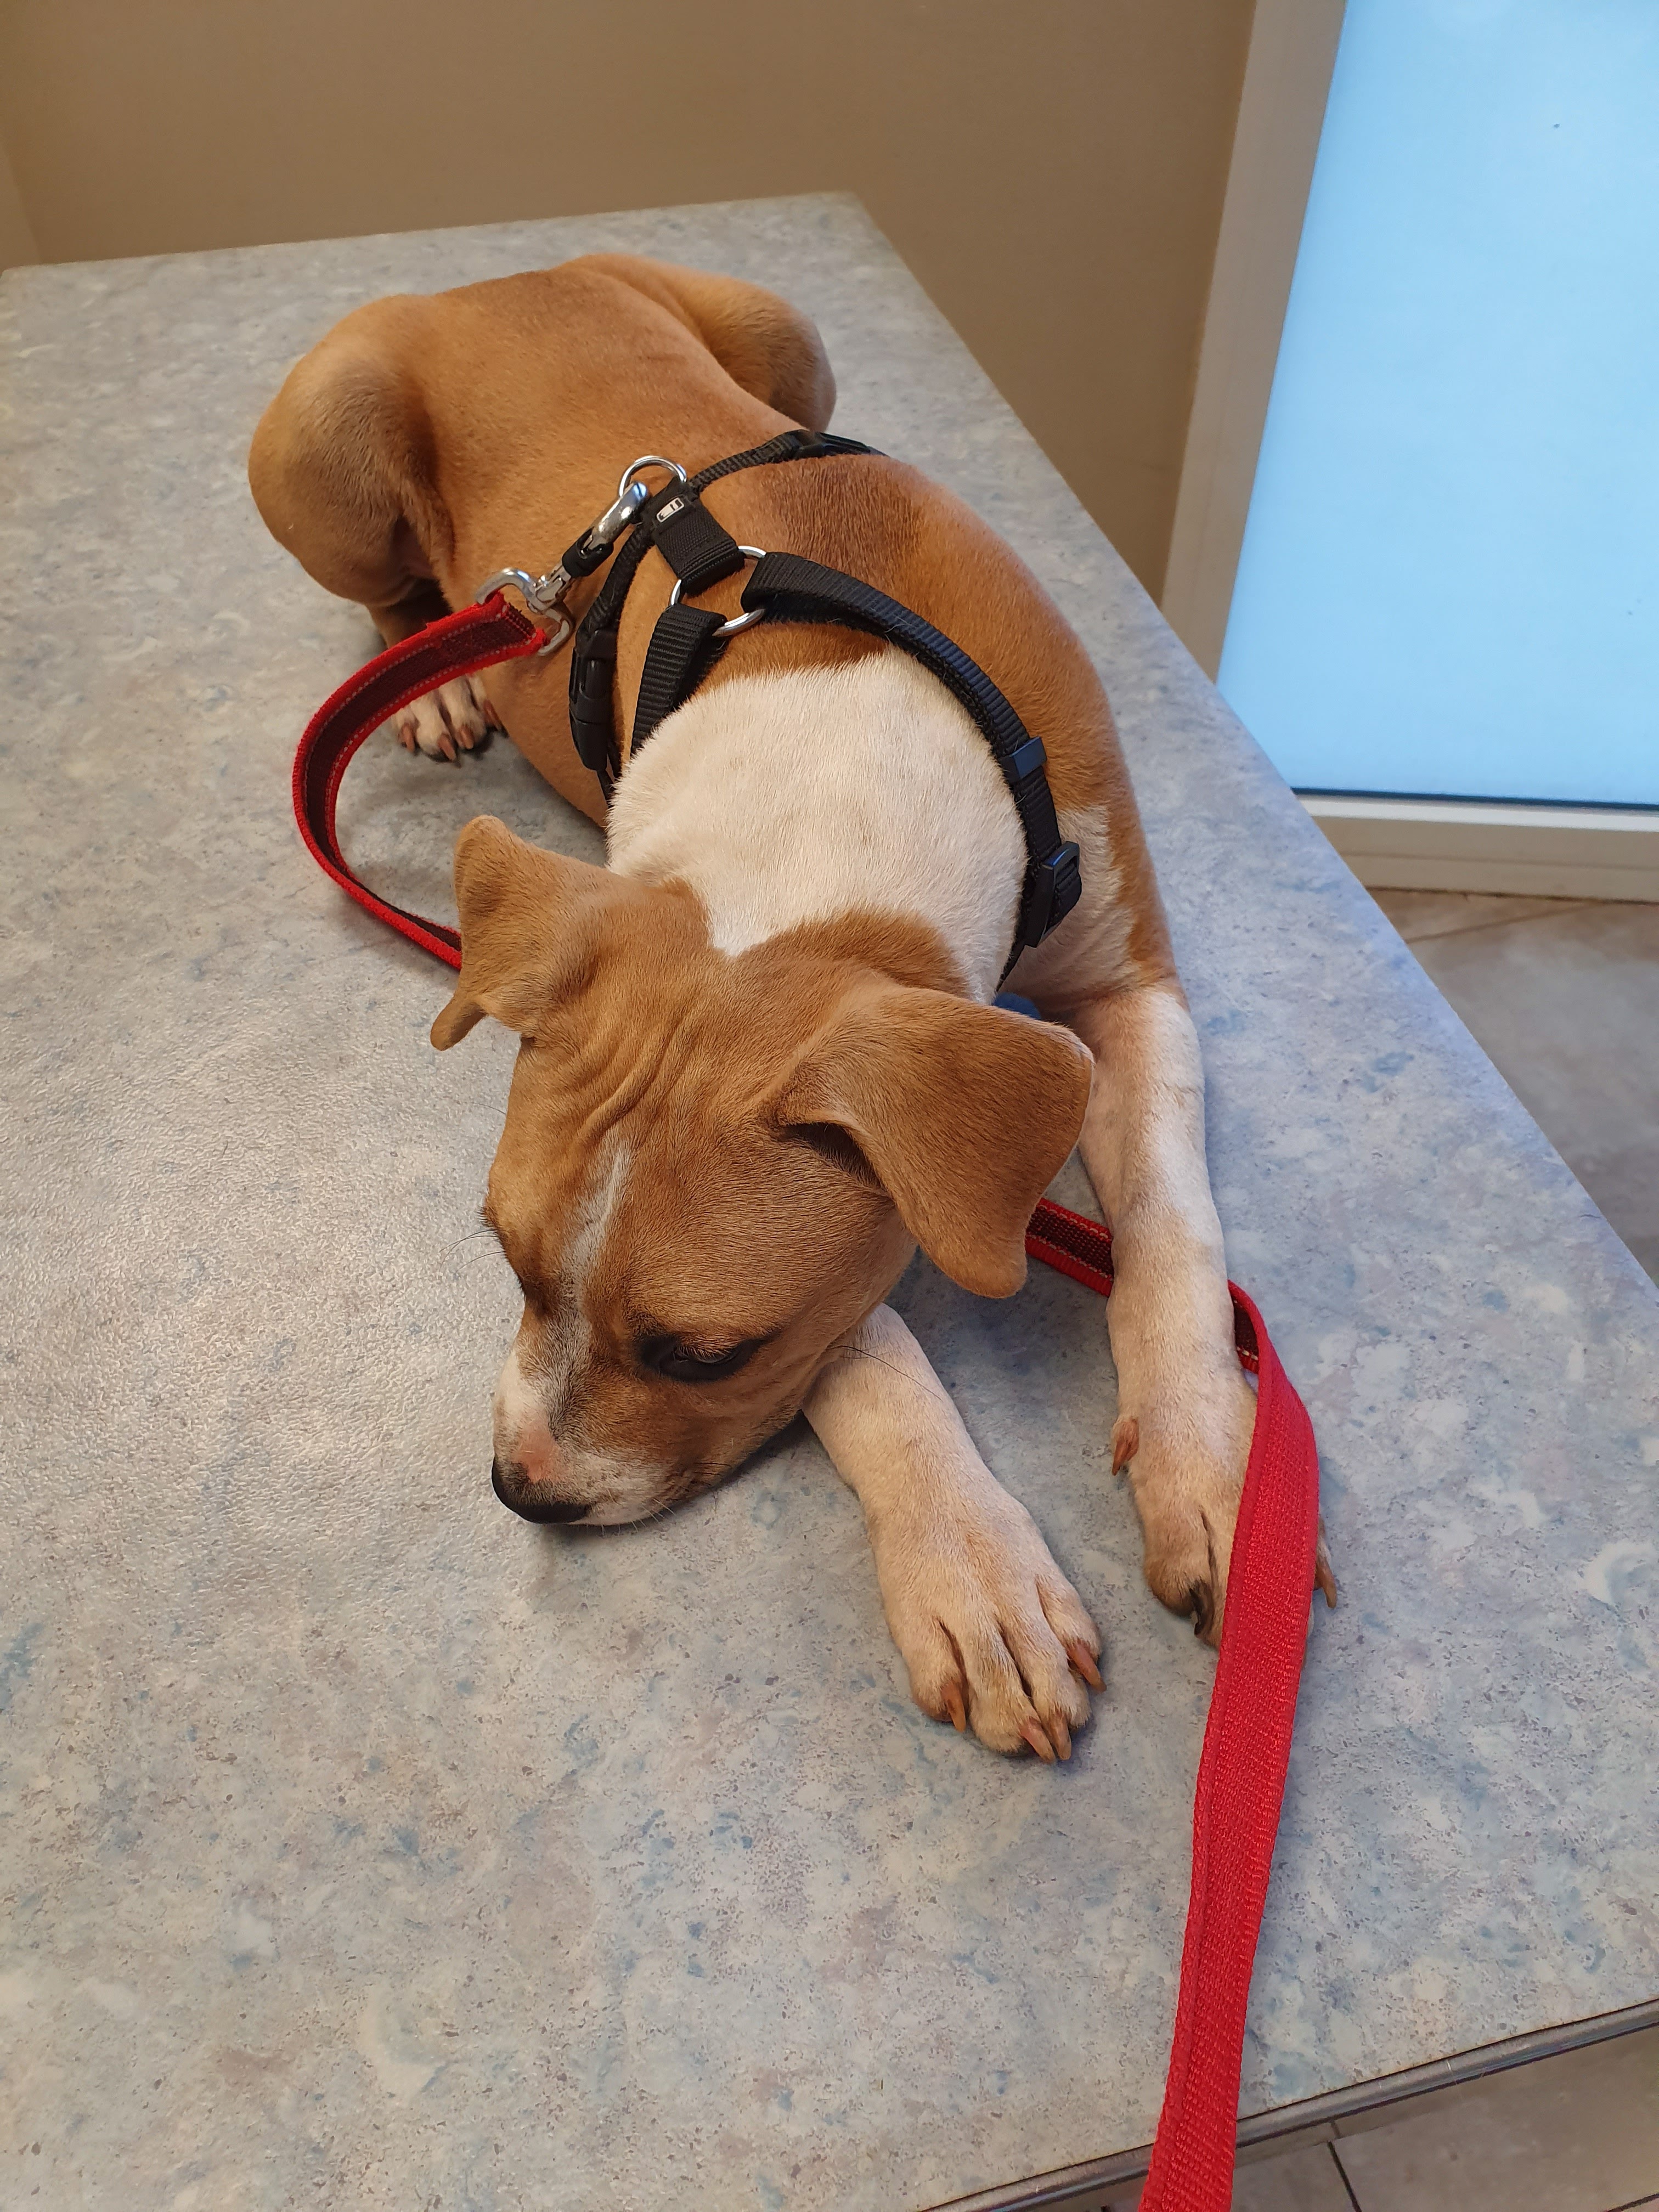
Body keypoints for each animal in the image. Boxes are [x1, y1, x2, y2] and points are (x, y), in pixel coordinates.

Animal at [251, 254, 1308, 1760]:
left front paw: (1211, 1458)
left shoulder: (1130, 982)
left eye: (703, 1355)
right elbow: (866, 1343)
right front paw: (973, 1567)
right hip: (327, 447)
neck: (841, 774)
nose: (523, 1493)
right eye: (506, 1265)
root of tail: (500, 269)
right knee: (392, 602)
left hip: (781, 330)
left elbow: (1171, 1225)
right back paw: (438, 685)